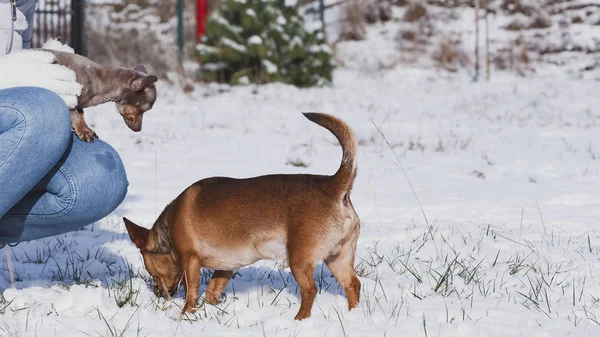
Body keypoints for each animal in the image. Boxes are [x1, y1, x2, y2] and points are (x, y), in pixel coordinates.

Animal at [122, 112, 360, 318]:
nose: (157, 293)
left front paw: (185, 315)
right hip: (338, 257)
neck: (168, 228)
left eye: (151, 271)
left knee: (310, 290)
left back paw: (300, 319)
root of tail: (333, 185)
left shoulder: (189, 260)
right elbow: (212, 291)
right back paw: (352, 314)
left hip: (300, 260)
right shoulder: (225, 268)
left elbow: (192, 292)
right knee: (353, 284)